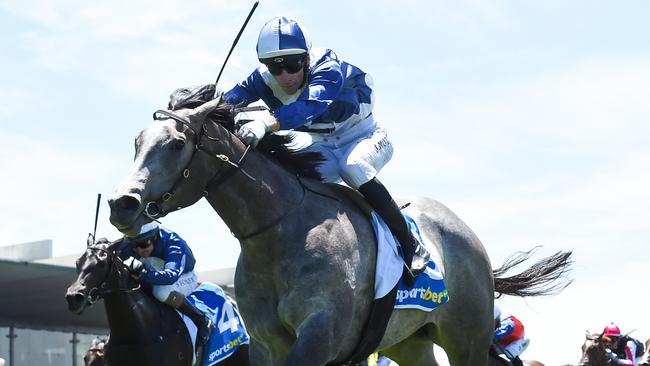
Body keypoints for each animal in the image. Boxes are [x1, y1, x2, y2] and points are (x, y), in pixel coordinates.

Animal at [107, 97, 572, 366]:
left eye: (176, 143)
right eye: (137, 141)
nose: (121, 204)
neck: (278, 234)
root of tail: (465, 232)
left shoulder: (318, 337)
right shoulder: (265, 345)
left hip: (467, 339)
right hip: (408, 341)